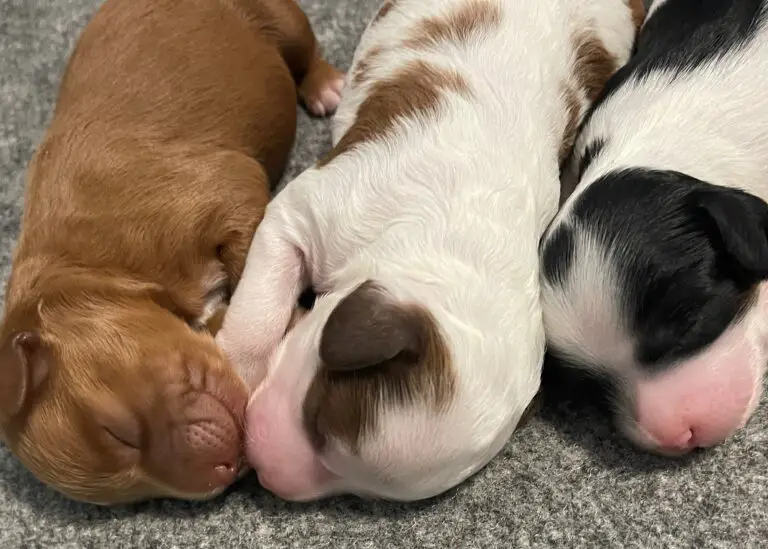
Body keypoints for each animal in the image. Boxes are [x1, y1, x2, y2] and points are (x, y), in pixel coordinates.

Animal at [0, 0, 344, 506]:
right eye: (136, 498)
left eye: (117, 432)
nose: (224, 473)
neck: (91, 267)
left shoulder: (227, 191)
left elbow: (250, 263)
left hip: (281, 19)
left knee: (305, 47)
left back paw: (324, 85)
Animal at [216, 0, 640, 500]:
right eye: (317, 420)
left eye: (360, 494)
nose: (269, 476)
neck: (456, 251)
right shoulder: (303, 214)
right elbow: (255, 318)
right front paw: (235, 374)